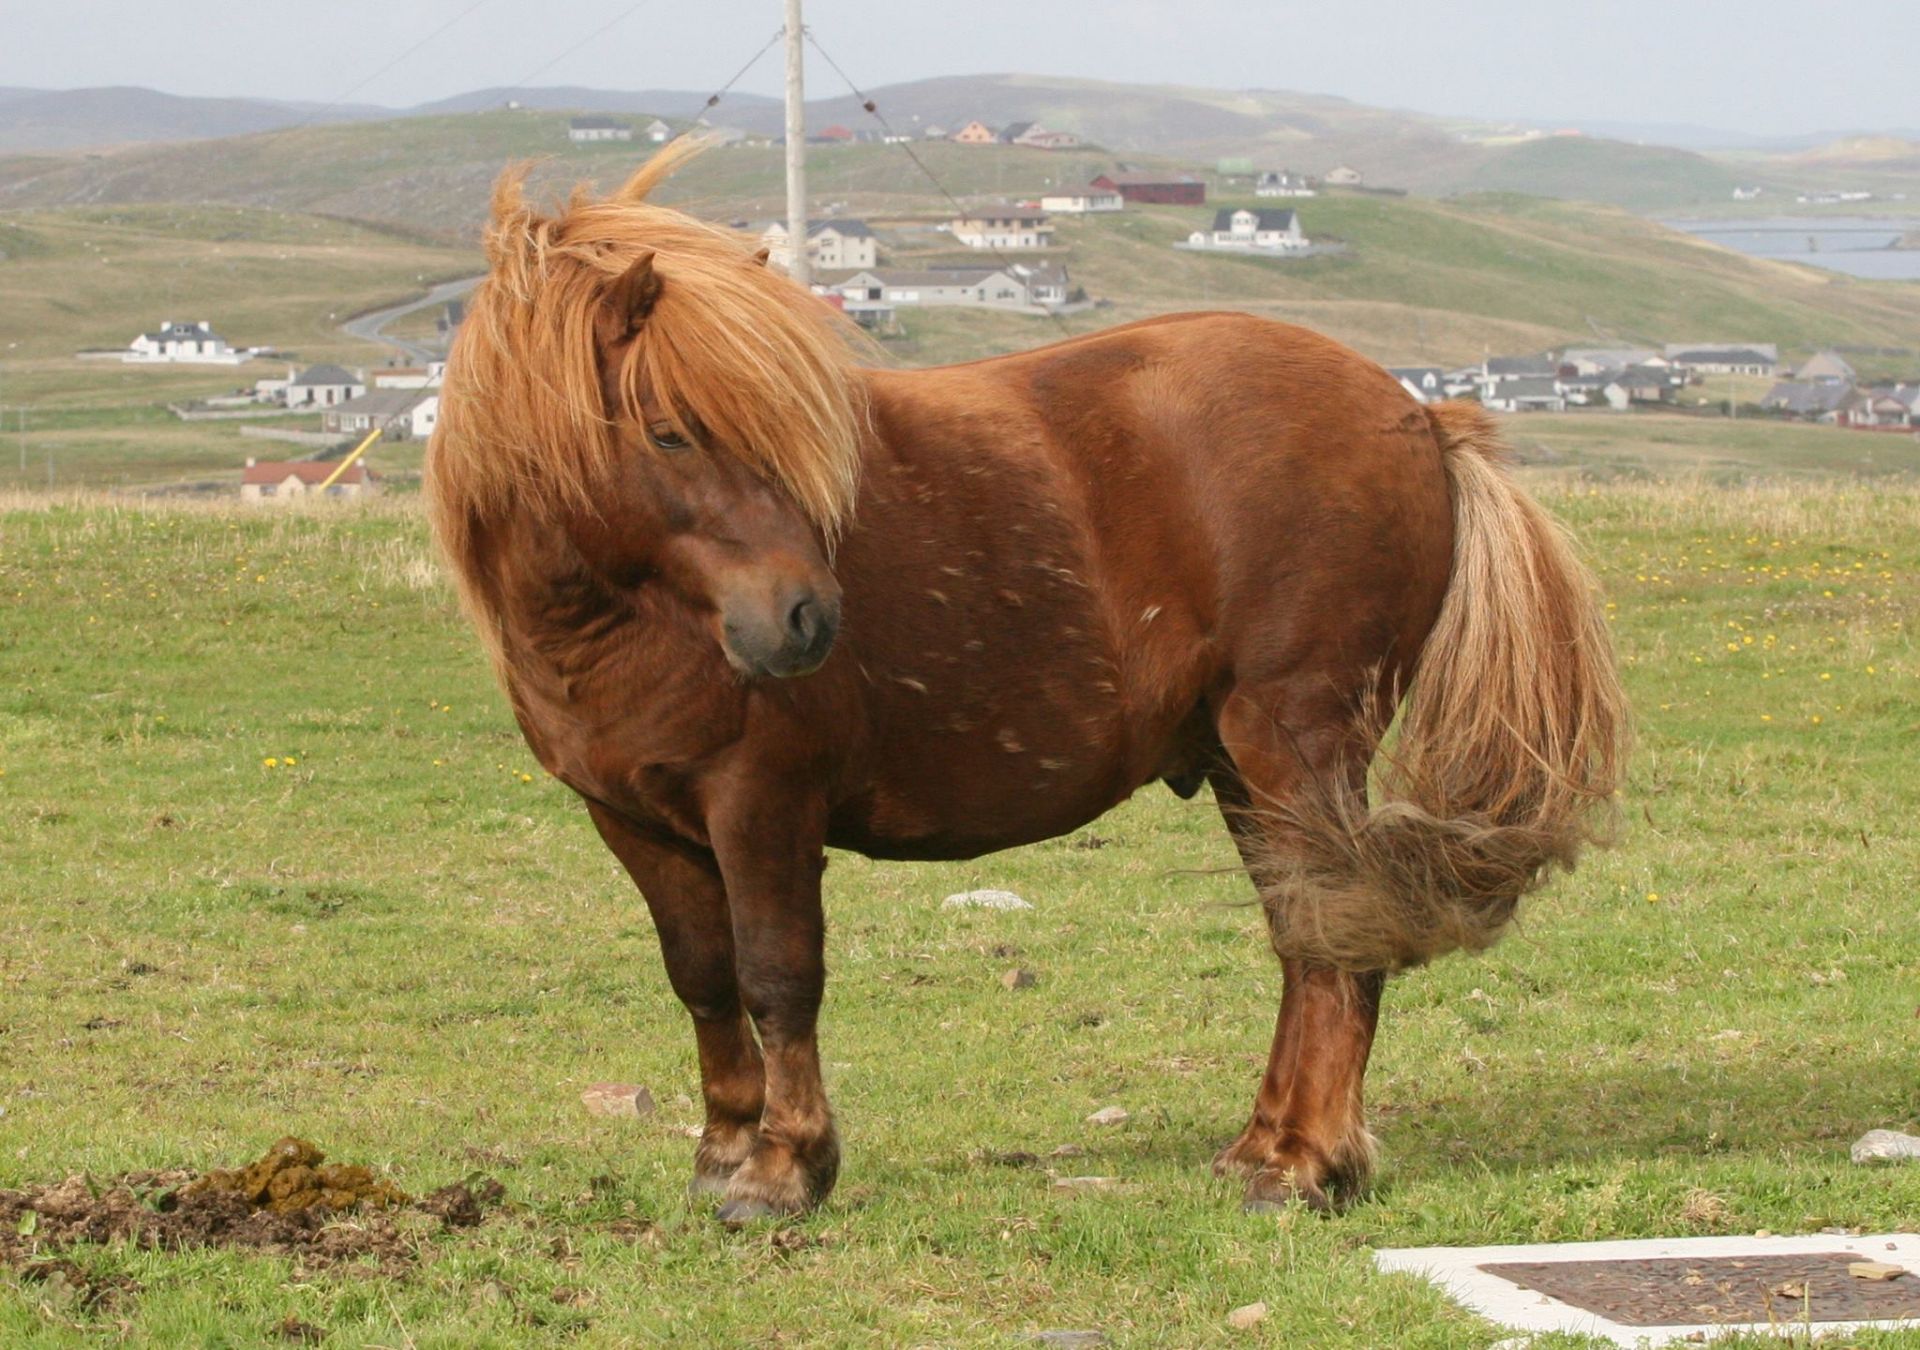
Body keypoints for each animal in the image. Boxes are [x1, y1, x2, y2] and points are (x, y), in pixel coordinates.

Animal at [428, 147, 1628, 1229]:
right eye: (671, 432)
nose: (805, 618)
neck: (632, 625)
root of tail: (1420, 418)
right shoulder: (636, 822)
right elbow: (705, 981)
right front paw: (722, 1153)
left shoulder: (761, 806)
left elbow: (777, 978)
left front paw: (783, 1171)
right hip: (1244, 766)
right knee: (1306, 939)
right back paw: (1264, 1148)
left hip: (1297, 745)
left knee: (1340, 948)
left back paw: (1306, 1168)